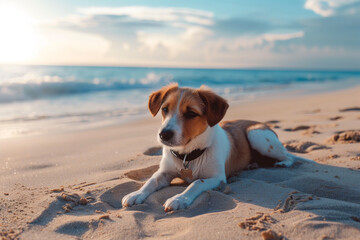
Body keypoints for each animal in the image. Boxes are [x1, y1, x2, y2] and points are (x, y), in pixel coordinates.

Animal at [121, 83, 312, 211]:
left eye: (191, 113)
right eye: (165, 109)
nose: (164, 135)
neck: (188, 155)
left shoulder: (218, 178)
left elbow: (196, 183)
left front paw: (179, 198)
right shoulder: (164, 172)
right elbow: (151, 180)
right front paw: (136, 194)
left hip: (257, 135)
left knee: (288, 156)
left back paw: (283, 163)